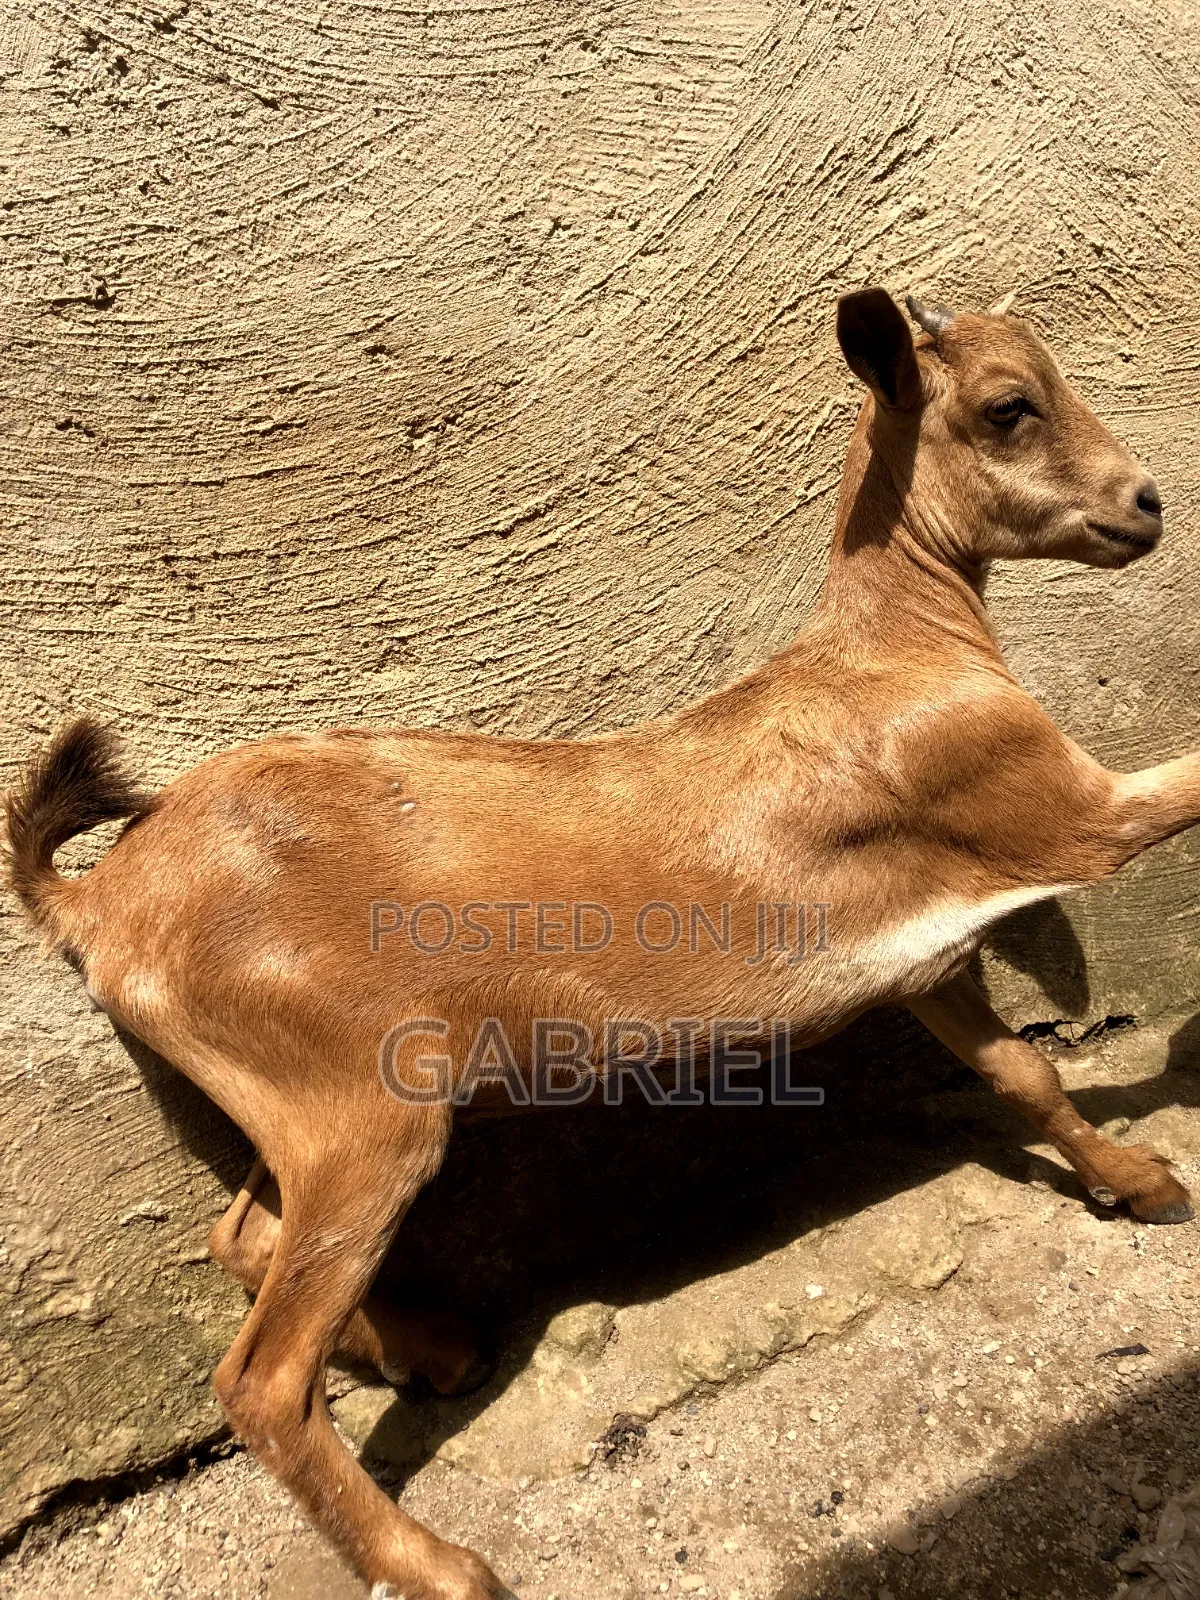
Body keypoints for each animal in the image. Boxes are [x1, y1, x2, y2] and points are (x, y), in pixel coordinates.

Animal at [6, 288, 1194, 1600]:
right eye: (1007, 405)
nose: (1146, 501)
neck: (898, 652)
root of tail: (101, 899)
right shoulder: (1062, 810)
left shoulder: (929, 957)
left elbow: (1023, 1071)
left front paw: (1142, 1182)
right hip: (362, 1111)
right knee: (261, 1378)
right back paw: (439, 1561)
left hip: (297, 1102)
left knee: (245, 1236)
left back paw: (435, 1348)